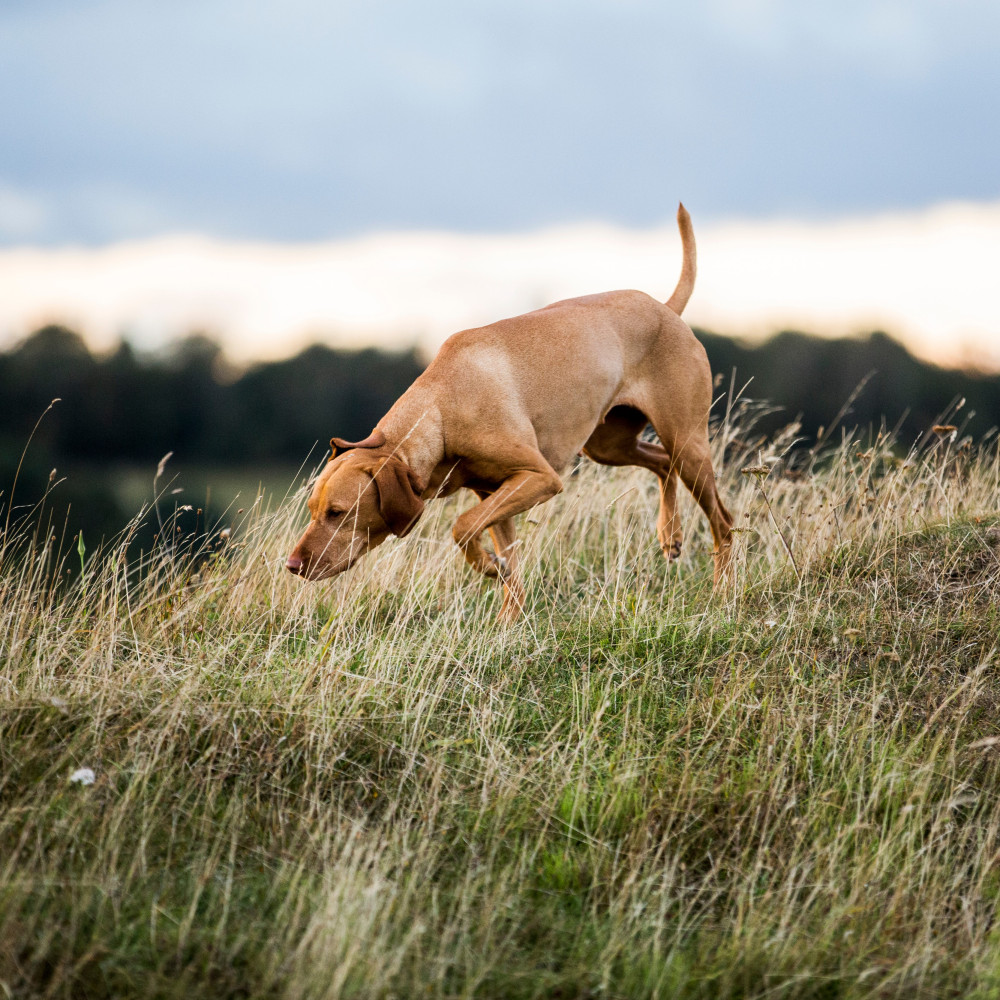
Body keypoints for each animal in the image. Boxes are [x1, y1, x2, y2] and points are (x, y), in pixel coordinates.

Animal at [288, 205, 736, 616]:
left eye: (337, 512)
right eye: (312, 511)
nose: (291, 565)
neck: (441, 410)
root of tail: (665, 308)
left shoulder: (539, 477)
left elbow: (462, 526)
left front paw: (489, 567)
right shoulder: (495, 493)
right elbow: (508, 566)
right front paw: (506, 618)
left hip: (687, 442)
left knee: (723, 521)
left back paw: (722, 592)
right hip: (608, 445)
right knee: (661, 462)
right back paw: (670, 533)